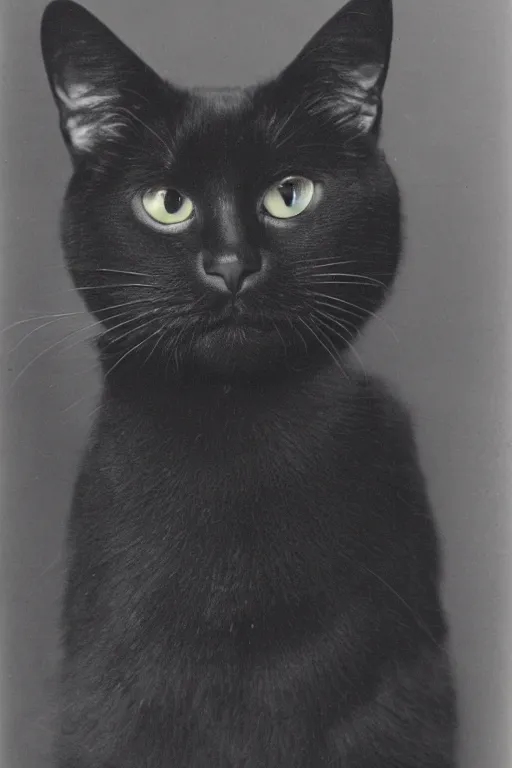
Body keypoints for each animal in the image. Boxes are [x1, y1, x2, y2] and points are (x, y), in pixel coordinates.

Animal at [40, 0, 456, 764]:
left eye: (289, 196)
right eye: (167, 202)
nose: (232, 264)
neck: (236, 425)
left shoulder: (396, 695)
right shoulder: (108, 697)